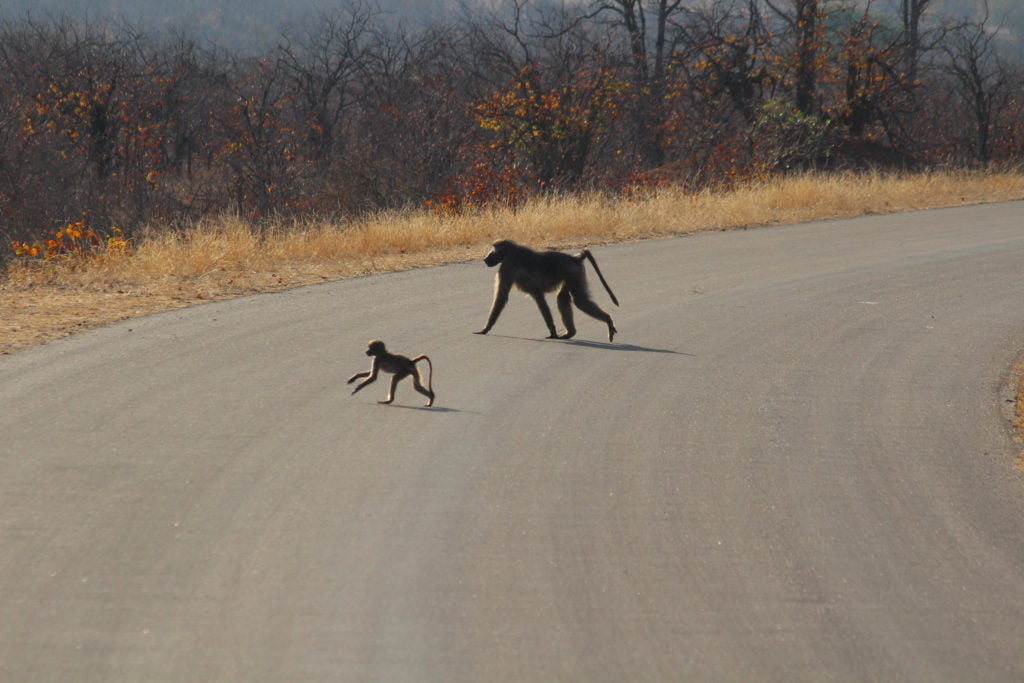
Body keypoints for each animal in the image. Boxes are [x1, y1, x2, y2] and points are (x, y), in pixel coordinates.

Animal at [475, 239, 619, 342]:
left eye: (494, 248)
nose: (485, 258)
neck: (511, 251)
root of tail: (575, 257)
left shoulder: (508, 266)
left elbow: (501, 296)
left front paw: (484, 329)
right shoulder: (535, 290)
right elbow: (539, 299)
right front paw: (553, 332)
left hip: (573, 273)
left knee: (580, 301)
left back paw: (608, 320)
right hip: (570, 275)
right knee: (562, 298)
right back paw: (570, 333)